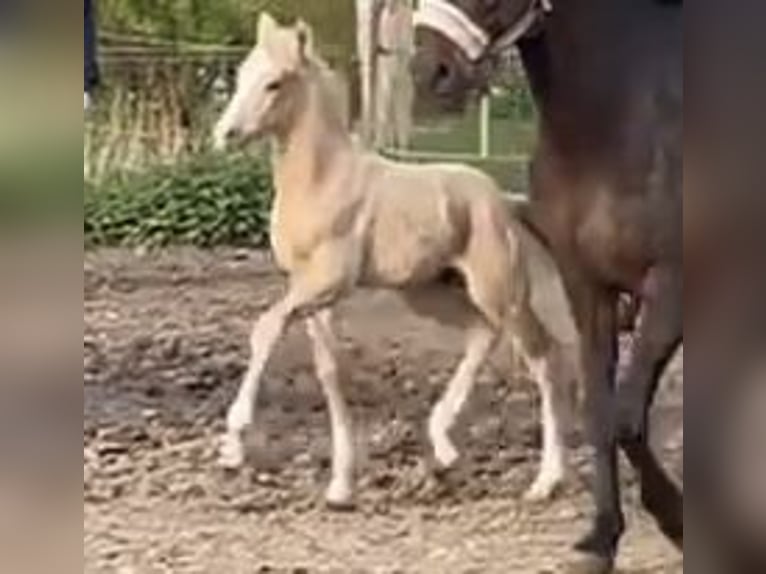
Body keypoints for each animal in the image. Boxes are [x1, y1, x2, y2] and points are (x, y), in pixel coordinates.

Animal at [213, 12, 580, 508]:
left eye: (274, 83)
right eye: (240, 74)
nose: (224, 135)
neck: (321, 179)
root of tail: (502, 202)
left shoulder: (327, 282)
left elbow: (265, 328)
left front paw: (234, 444)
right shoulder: (309, 293)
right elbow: (331, 372)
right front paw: (341, 486)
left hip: (499, 290)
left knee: (543, 358)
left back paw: (546, 481)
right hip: (429, 291)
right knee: (481, 334)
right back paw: (444, 446)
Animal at [414, 2, 684, 572]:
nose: (429, 72)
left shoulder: (673, 287)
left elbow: (626, 418)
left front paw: (679, 522)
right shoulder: (588, 287)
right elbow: (600, 411)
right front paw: (601, 538)